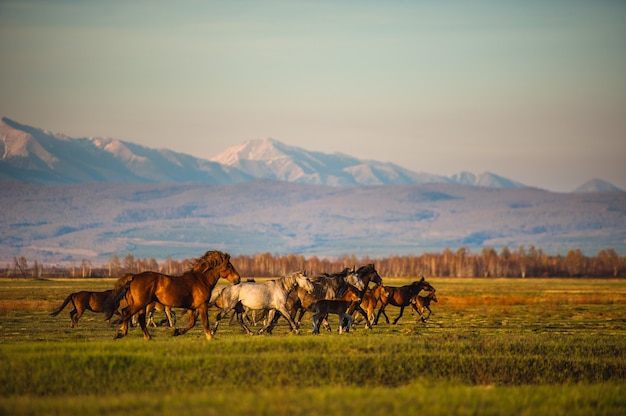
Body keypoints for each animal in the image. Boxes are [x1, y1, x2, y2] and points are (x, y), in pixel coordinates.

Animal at [108, 250, 240, 342]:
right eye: (229, 265)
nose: (237, 279)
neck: (201, 280)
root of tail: (134, 277)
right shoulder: (202, 306)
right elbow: (205, 323)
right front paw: (210, 337)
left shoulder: (191, 308)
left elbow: (192, 323)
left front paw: (177, 331)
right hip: (140, 303)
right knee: (127, 313)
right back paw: (121, 333)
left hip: (142, 305)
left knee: (138, 318)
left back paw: (147, 337)